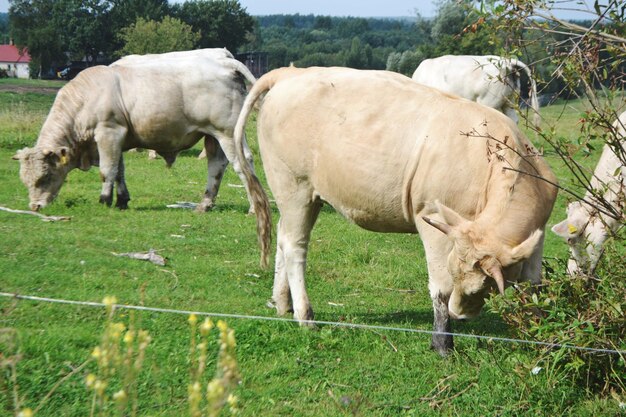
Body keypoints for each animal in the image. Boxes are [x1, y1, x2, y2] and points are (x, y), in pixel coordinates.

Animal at [15, 48, 258, 211]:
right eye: (25, 180)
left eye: (45, 177)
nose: (34, 206)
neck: (88, 96)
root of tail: (225, 59)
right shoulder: (117, 139)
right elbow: (119, 171)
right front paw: (121, 200)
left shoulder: (108, 133)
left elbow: (107, 170)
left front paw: (104, 200)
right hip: (212, 135)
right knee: (216, 165)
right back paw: (205, 204)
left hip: (228, 132)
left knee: (242, 161)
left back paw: (254, 208)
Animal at [232, 66, 552, 356]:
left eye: (479, 288)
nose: (459, 314)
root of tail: (291, 72)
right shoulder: (433, 223)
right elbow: (440, 288)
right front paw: (442, 343)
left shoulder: (536, 237)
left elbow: (535, 286)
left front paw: (541, 336)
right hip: (295, 187)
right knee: (294, 246)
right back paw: (304, 314)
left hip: (301, 196)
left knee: (282, 239)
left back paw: (281, 302)